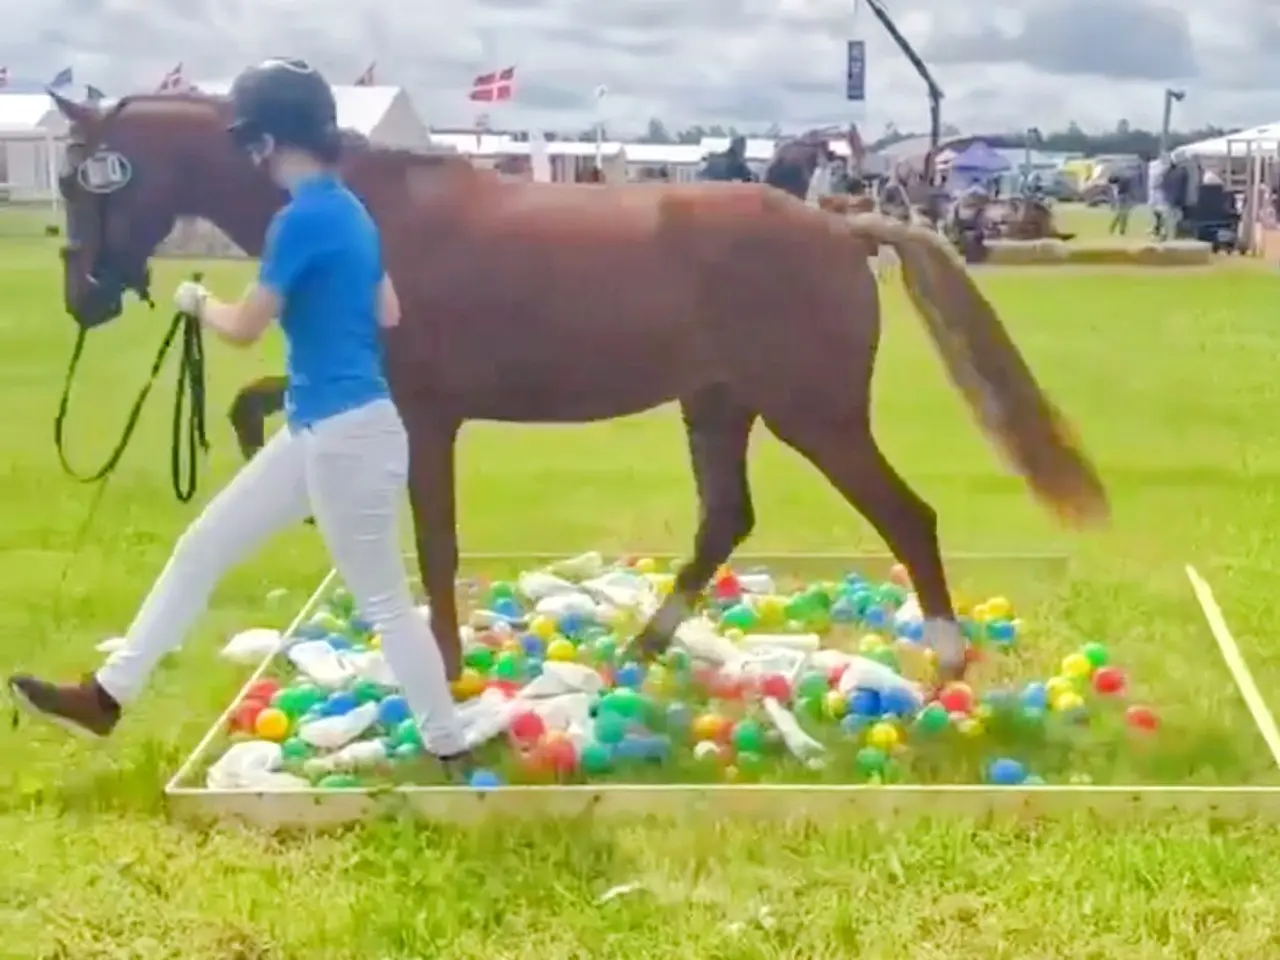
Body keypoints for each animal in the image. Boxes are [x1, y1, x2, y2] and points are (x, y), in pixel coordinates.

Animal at [49, 90, 1107, 683]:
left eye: (83, 180)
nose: (83, 296)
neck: (367, 211)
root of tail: (844, 224)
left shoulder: (426, 417)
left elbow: (436, 544)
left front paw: (446, 669)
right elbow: (253, 405)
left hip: (815, 416)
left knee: (906, 518)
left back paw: (946, 666)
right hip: (718, 407)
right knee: (725, 520)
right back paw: (638, 655)